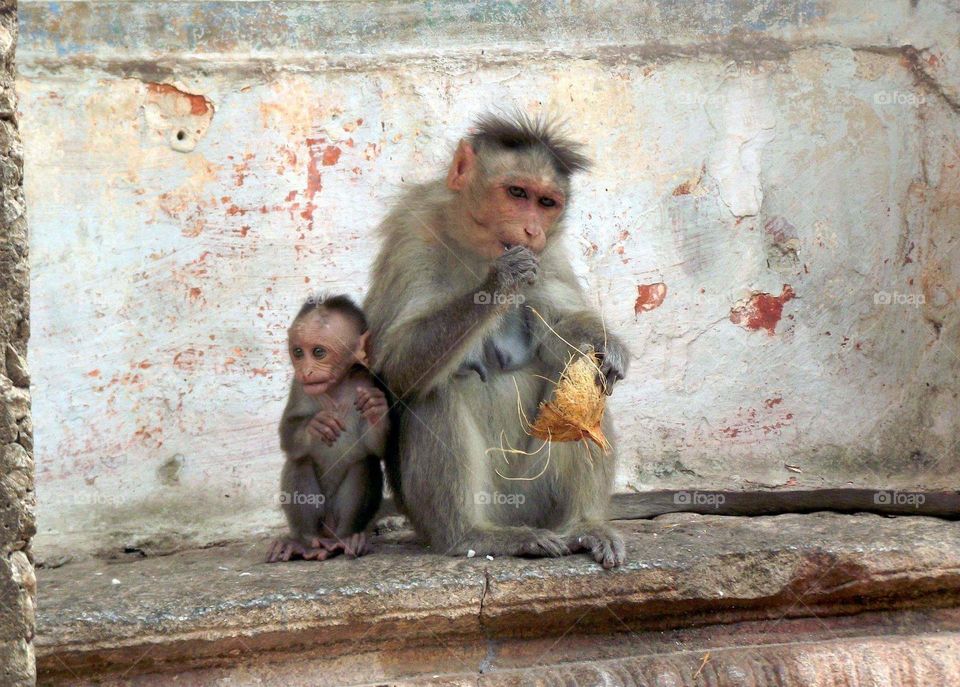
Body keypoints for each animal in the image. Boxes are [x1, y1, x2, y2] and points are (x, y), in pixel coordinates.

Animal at [266, 294, 387, 563]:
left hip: (339, 520)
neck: (335, 389)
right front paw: (315, 425)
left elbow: (377, 447)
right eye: (298, 352)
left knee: (364, 462)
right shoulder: (300, 388)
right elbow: (288, 437)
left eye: (318, 352)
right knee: (300, 459)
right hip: (319, 522)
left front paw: (376, 409)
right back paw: (303, 543)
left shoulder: (368, 382)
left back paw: (347, 539)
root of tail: (326, 534)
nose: (305, 370)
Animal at [365, 112, 630, 568]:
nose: (531, 229)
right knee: (434, 389)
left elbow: (561, 330)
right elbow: (394, 363)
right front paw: (503, 279)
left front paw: (607, 346)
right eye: (516, 192)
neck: (475, 247)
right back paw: (472, 535)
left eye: (546, 203)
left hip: (534, 496)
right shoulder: (413, 233)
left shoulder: (548, 253)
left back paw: (584, 525)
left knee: (579, 385)